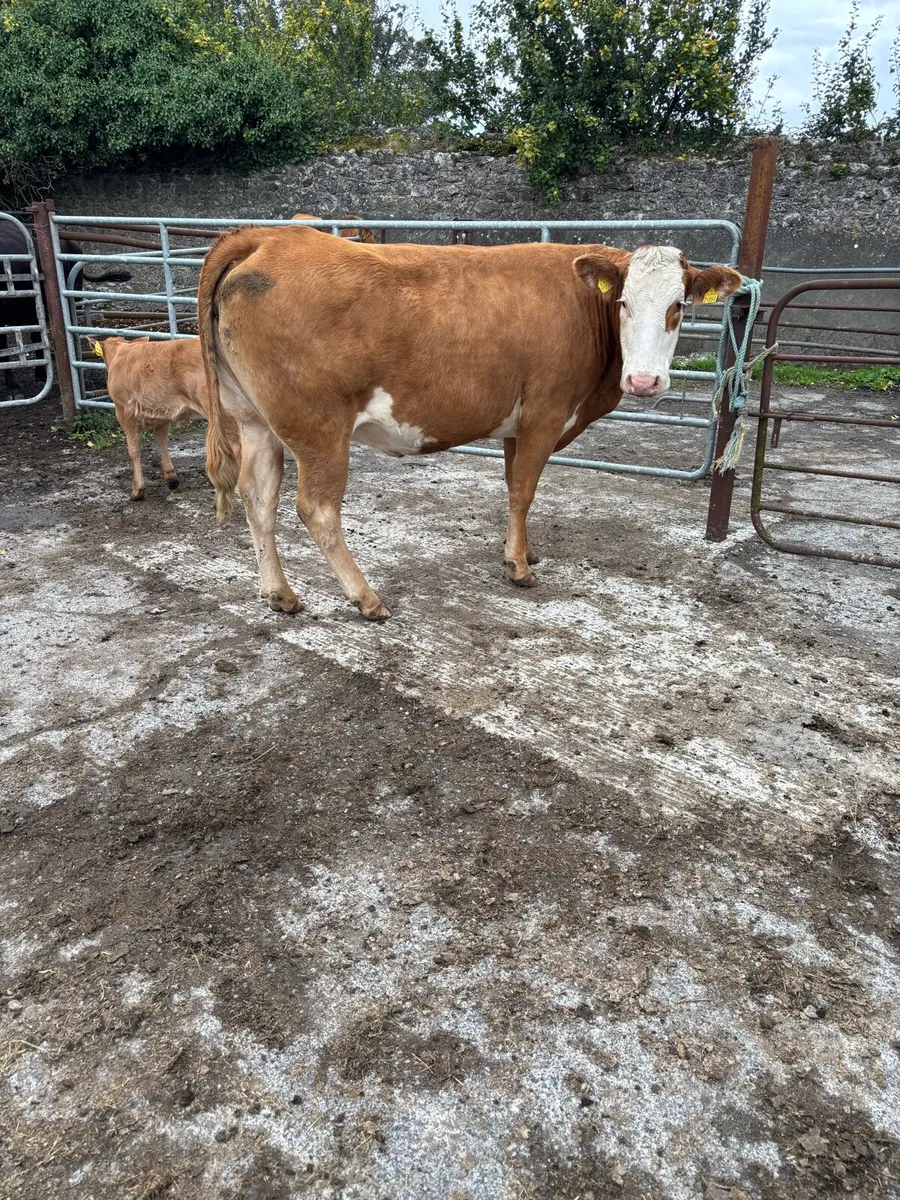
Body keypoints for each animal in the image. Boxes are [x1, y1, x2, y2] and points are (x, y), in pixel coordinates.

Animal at [90, 335, 232, 502]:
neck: (120, 353)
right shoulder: (162, 415)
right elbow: (162, 440)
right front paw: (171, 477)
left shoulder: (124, 411)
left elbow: (134, 449)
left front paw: (137, 490)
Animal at [198, 227, 741, 620]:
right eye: (623, 302)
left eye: (678, 306)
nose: (645, 381)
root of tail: (266, 237)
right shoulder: (545, 414)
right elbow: (524, 489)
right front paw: (519, 567)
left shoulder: (516, 424)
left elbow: (512, 485)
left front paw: (523, 551)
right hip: (319, 427)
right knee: (316, 508)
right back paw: (366, 598)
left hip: (255, 420)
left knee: (258, 496)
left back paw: (280, 594)